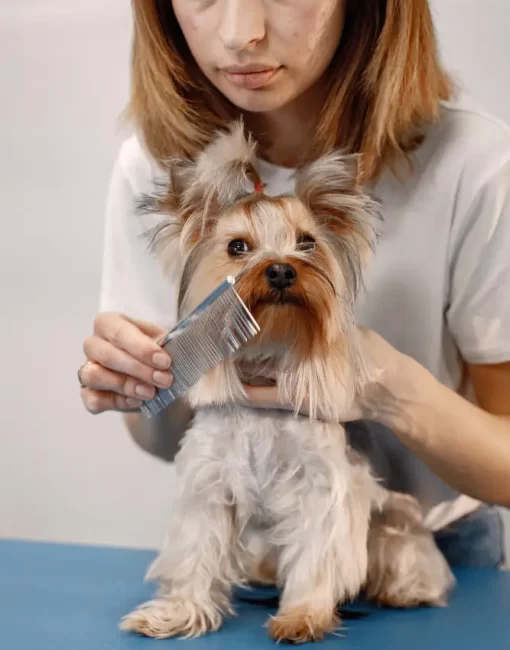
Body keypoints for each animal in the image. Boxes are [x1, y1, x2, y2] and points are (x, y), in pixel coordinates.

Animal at [120, 123, 454, 644]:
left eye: (307, 242)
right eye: (237, 247)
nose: (280, 268)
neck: (266, 358)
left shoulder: (322, 487)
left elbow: (317, 556)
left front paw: (303, 616)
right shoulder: (209, 485)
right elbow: (196, 551)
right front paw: (177, 613)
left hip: (396, 522)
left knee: (404, 552)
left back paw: (406, 588)